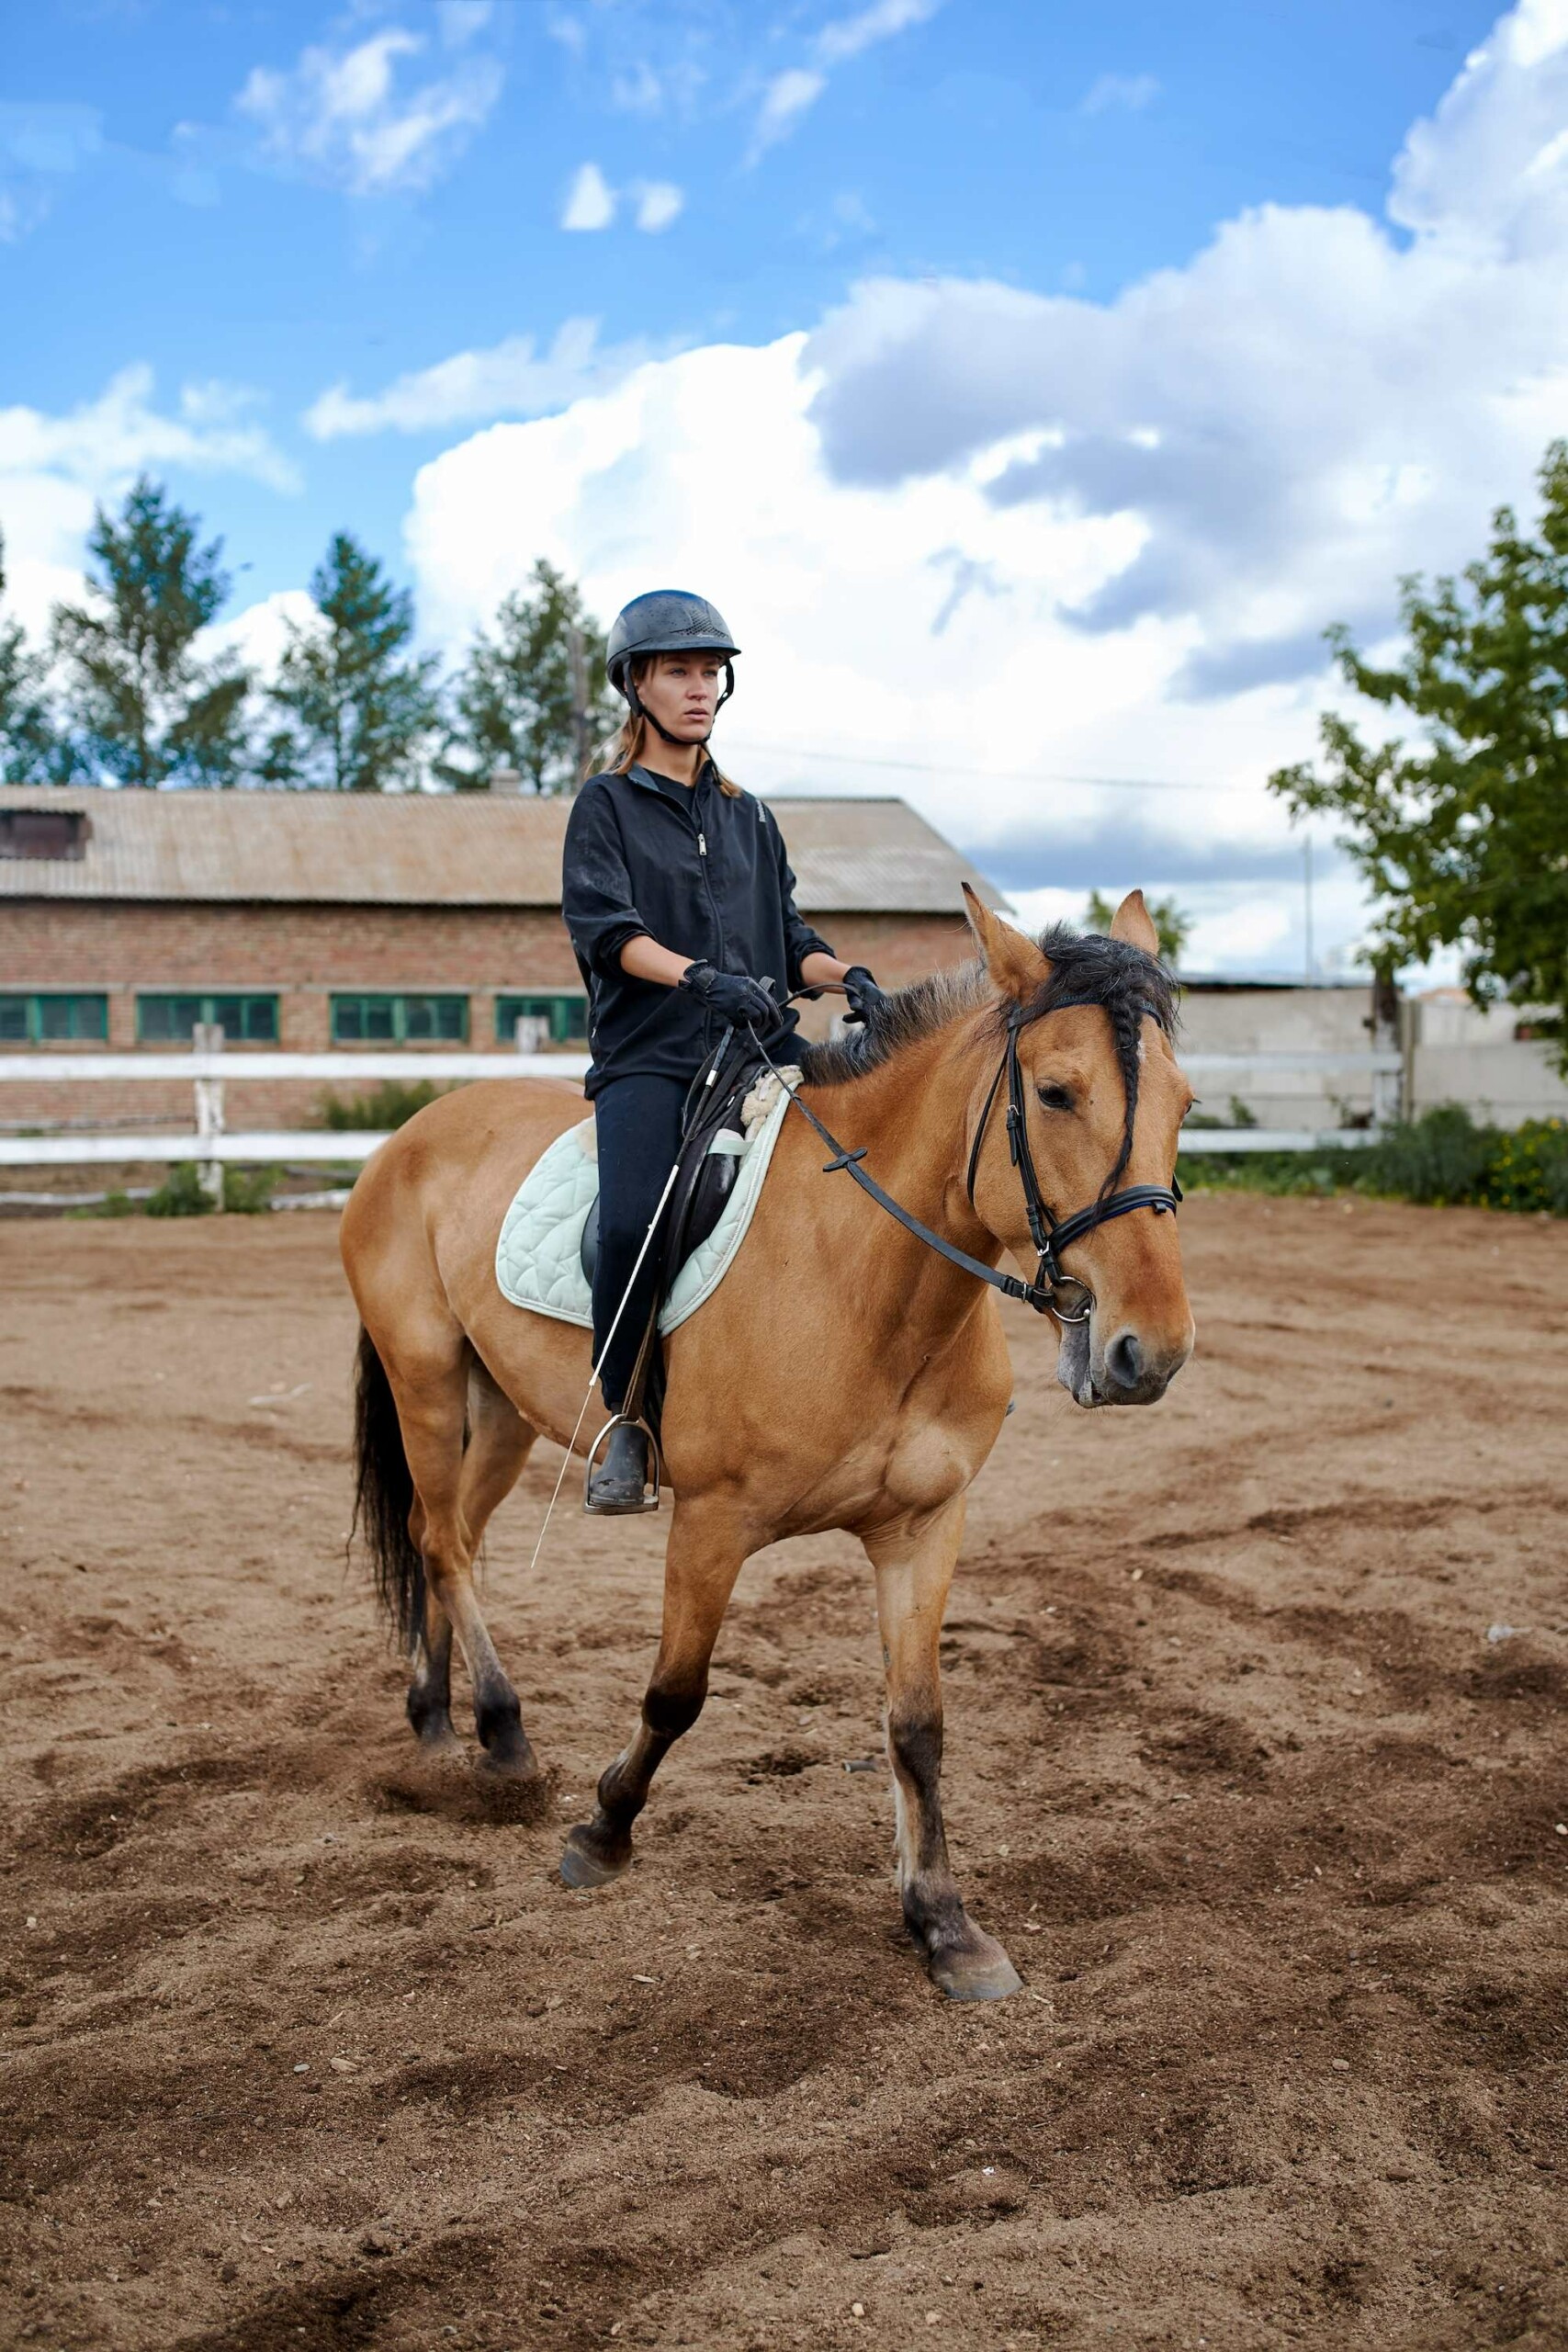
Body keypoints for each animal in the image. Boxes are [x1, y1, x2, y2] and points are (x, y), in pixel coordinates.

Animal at [343, 888, 1194, 1994]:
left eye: (1184, 1106)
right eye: (1054, 1094)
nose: (1151, 1352)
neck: (866, 1279)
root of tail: (413, 1131)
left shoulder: (925, 1526)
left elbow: (917, 1724)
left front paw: (944, 1924)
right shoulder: (711, 1522)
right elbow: (675, 1694)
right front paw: (603, 1832)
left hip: (498, 1413)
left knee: (443, 1537)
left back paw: (441, 1721)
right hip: (428, 1381)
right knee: (442, 1542)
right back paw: (504, 1729)